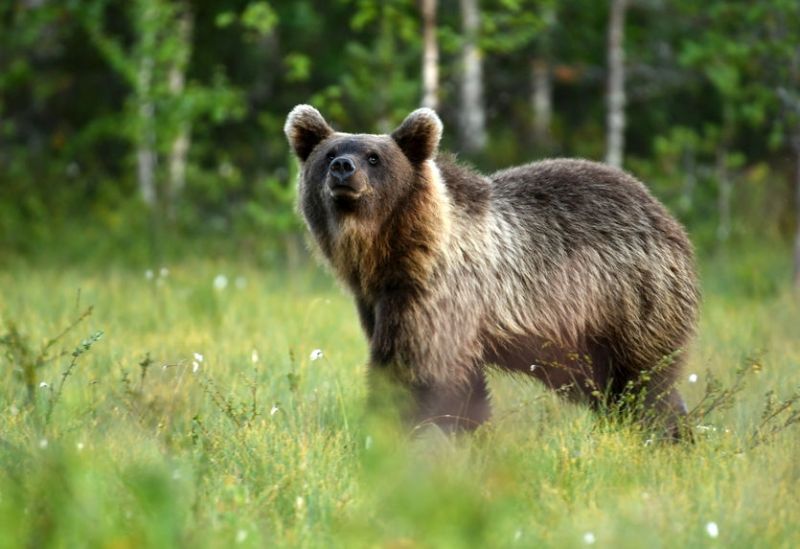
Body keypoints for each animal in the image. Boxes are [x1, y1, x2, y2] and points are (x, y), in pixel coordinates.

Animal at [284, 105, 696, 438]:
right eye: (329, 152)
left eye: (373, 157)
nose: (342, 168)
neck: (394, 253)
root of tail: (665, 215)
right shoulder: (381, 300)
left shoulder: (437, 296)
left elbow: (415, 370)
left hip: (629, 300)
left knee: (643, 383)